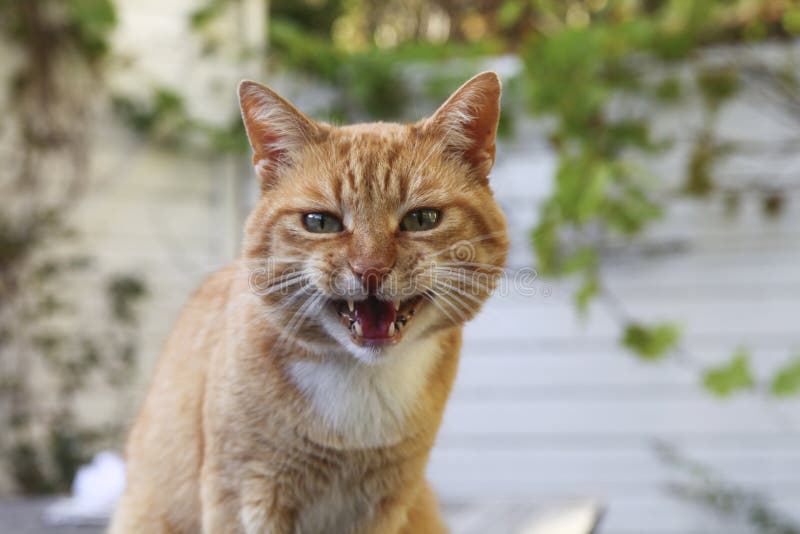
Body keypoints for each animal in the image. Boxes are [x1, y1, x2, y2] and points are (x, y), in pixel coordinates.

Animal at [109, 72, 510, 534]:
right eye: (320, 223)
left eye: (421, 219)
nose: (370, 269)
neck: (361, 383)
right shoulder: (240, 493)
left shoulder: (385, 503)